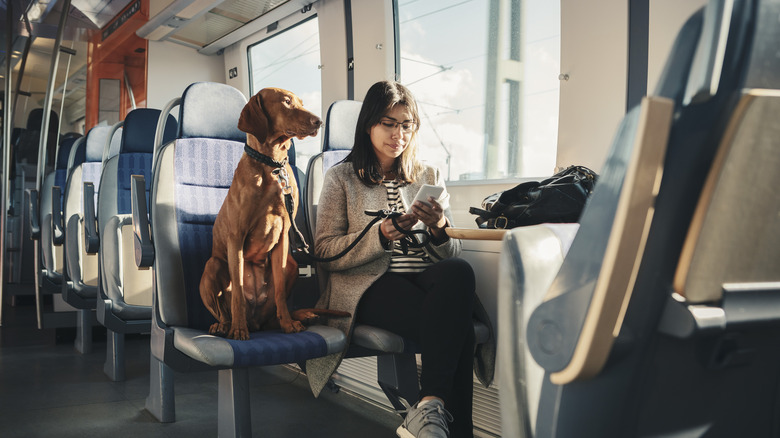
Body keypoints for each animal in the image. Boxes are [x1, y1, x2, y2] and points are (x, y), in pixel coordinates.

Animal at [201, 87, 348, 340]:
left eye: (300, 102)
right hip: (213, 264)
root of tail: (256, 322)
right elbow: (237, 292)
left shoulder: (284, 236)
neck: (272, 165)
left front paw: (288, 324)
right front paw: (238, 329)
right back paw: (225, 325)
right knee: (223, 309)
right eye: (286, 102)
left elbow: (279, 291)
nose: (318, 121)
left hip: (291, 265)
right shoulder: (236, 236)